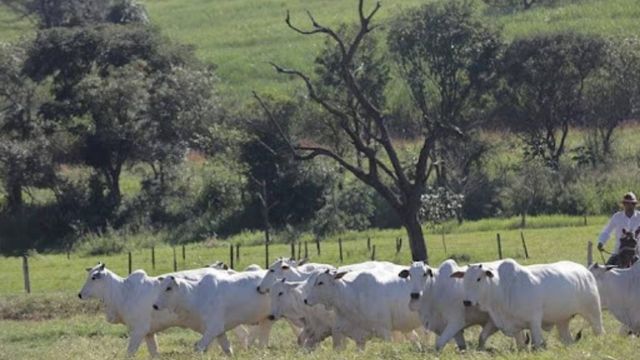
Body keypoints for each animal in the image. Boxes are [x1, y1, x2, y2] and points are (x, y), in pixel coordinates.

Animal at [450, 260, 604, 348]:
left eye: (479, 278)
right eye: (464, 278)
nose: (467, 301)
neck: (503, 290)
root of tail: (585, 271)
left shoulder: (534, 321)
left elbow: (538, 345)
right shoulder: (515, 328)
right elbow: (521, 347)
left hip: (593, 312)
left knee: (600, 331)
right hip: (562, 320)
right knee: (567, 339)